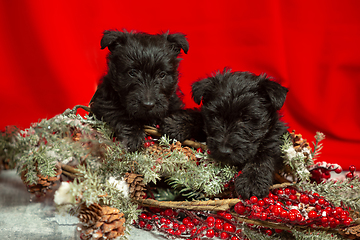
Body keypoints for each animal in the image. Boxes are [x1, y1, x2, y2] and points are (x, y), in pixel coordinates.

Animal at [193, 69, 288, 199]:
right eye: (216, 116)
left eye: (246, 118)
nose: (224, 151)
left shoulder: (274, 140)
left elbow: (262, 159)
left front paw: (251, 182)